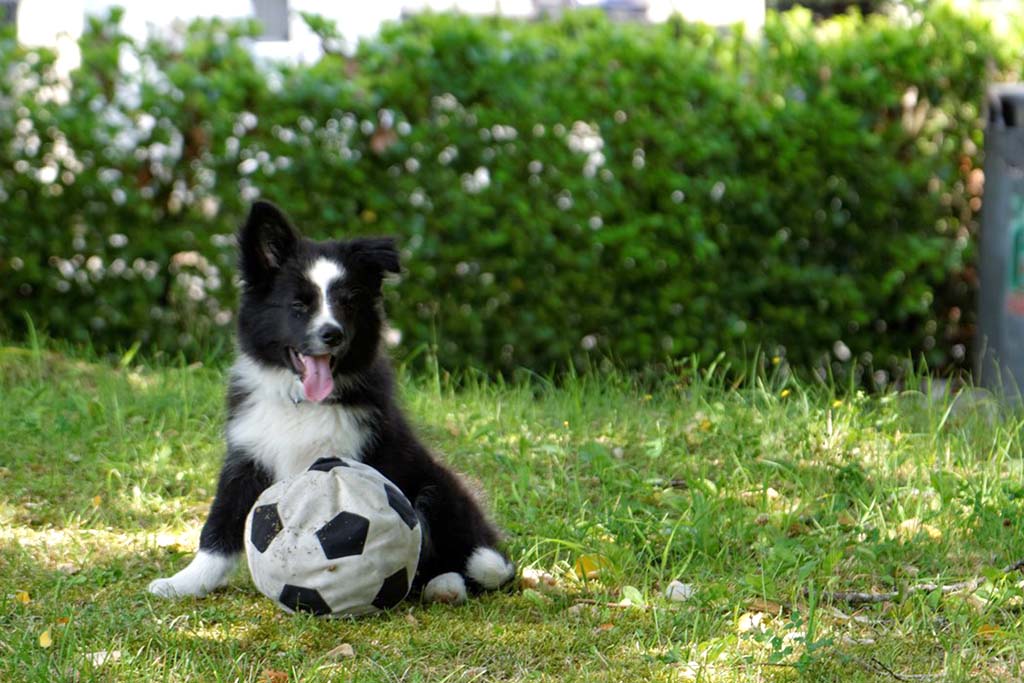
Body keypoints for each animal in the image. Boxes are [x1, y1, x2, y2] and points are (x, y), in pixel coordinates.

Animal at [148, 201, 516, 602]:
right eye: (298, 305)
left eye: (348, 304)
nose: (332, 334)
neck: (301, 404)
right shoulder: (246, 457)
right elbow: (219, 524)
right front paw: (184, 582)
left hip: (439, 489)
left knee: (477, 562)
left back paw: (446, 584)